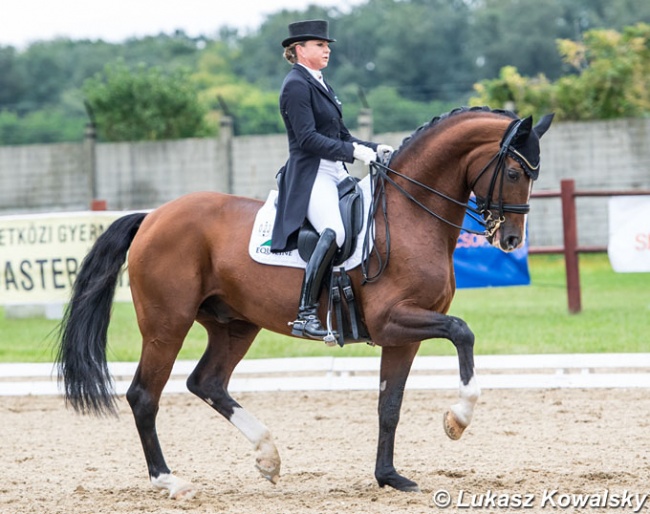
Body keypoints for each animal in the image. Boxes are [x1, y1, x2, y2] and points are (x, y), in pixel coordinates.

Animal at [55, 106, 552, 498]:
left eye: (534, 175)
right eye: (513, 173)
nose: (510, 240)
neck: (410, 214)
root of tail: (153, 216)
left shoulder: (402, 335)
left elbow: (389, 405)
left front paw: (389, 477)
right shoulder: (394, 320)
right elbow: (462, 332)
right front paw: (457, 419)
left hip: (235, 324)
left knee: (207, 382)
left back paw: (268, 456)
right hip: (167, 325)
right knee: (144, 395)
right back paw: (170, 481)